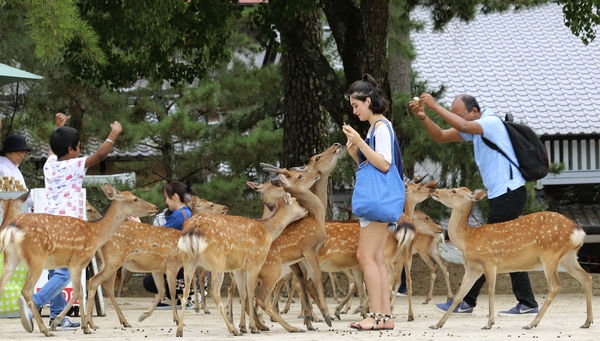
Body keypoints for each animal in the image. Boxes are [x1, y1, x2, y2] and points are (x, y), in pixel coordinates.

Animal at [0, 183, 158, 334]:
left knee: (2, 285)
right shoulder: (77, 261)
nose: (155, 207)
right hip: (36, 259)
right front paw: (84, 327)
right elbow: (79, 291)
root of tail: (11, 228)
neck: (96, 234)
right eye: (134, 199)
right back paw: (45, 329)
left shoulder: (75, 265)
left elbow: (80, 291)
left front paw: (79, 324)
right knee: (26, 290)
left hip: (11, 258)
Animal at [82, 195, 227, 330]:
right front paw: (178, 320)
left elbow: (162, 291)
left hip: (111, 262)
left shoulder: (157, 268)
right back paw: (92, 323)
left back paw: (124, 321)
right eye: (211, 204)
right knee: (94, 281)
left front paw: (143, 316)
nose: (225, 208)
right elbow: (172, 292)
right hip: (113, 260)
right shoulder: (172, 264)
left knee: (107, 287)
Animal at [176, 167, 322, 334]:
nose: (306, 210)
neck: (268, 231)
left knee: (185, 291)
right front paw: (253, 327)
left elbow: (244, 295)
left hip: (188, 260)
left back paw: (180, 330)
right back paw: (233, 328)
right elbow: (252, 294)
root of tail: (193, 229)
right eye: (297, 202)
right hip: (217, 261)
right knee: (214, 291)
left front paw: (247, 326)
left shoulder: (240, 268)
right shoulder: (255, 261)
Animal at [428, 186, 592, 330]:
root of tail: (579, 231)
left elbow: (490, 291)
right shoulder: (472, 268)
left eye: (453, 190)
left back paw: (531, 324)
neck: (467, 239)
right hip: (568, 257)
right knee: (586, 278)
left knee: (555, 286)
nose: (435, 191)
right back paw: (587, 322)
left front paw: (489, 323)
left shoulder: (489, 262)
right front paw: (437, 324)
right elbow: (460, 295)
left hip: (550, 255)